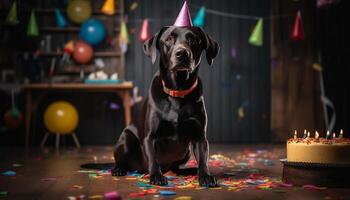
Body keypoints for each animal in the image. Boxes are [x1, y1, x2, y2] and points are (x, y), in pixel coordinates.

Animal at [113, 25, 219, 187]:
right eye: (169, 39)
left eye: (193, 39)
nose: (182, 53)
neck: (178, 91)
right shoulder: (150, 137)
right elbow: (153, 158)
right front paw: (156, 176)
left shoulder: (199, 137)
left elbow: (203, 158)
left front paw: (205, 175)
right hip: (126, 138)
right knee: (122, 161)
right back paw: (119, 169)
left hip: (186, 150)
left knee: (175, 168)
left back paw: (189, 170)